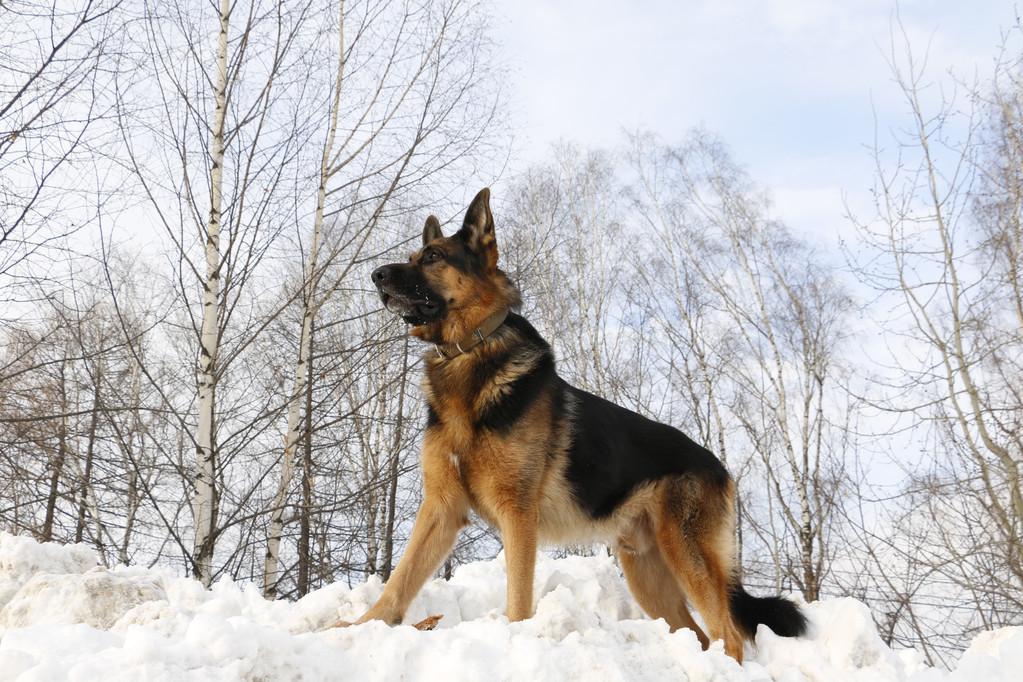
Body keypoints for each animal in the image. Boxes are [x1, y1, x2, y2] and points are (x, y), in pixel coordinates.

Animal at [360, 188, 806, 662]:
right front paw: (353, 626)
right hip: (647, 575)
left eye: (432, 257)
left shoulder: (518, 515)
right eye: (415, 255)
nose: (375, 275)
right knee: (699, 634)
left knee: (729, 634)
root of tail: (720, 467)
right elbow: (399, 581)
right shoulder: (441, 509)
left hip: (689, 556)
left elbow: (518, 599)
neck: (470, 352)